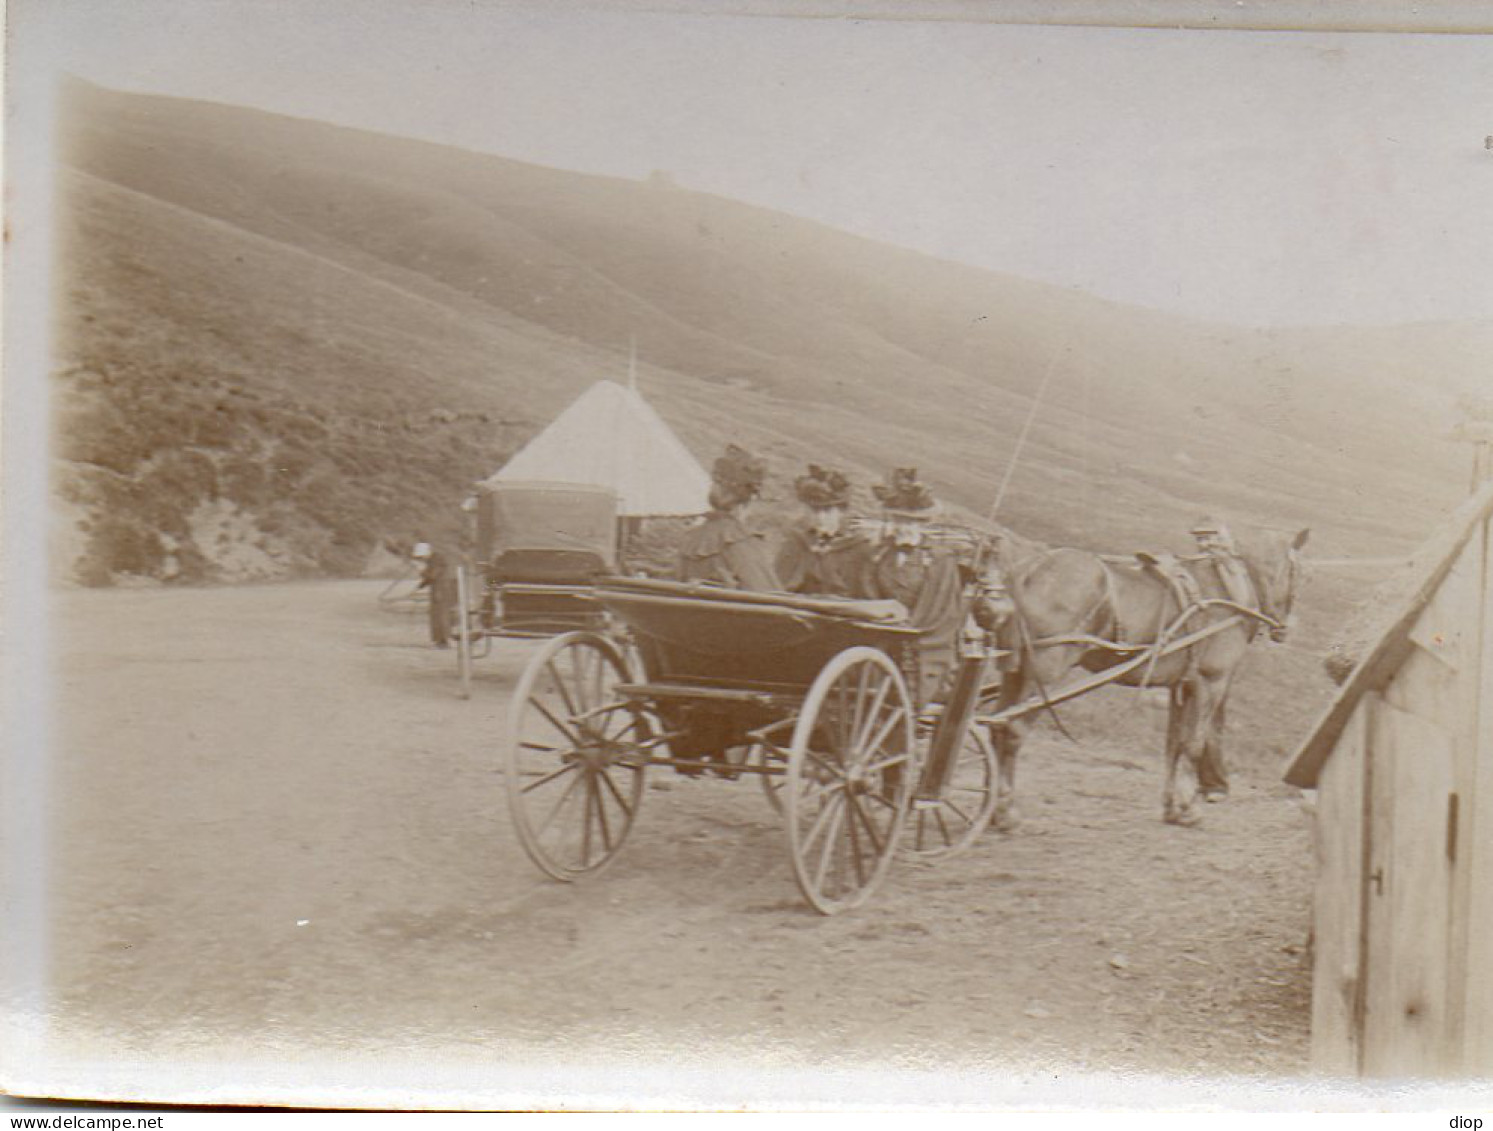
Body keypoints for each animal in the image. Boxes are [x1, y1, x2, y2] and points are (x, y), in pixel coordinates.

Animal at [985, 528, 1313, 829]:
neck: (1227, 587)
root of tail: (1030, 569)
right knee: (1013, 729)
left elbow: (1174, 745)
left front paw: (1171, 807)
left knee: (996, 725)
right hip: (1043, 673)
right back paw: (1005, 811)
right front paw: (1188, 808)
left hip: (1015, 672)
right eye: (1296, 572)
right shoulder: (1210, 682)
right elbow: (1194, 744)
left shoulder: (1181, 686)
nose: (1283, 629)